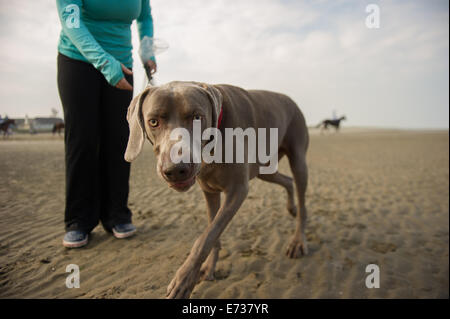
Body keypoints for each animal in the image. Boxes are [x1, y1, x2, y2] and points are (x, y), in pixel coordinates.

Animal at [124, 80, 310, 300]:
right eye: (153, 122)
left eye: (197, 117)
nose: (176, 170)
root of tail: (290, 100)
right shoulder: (209, 191)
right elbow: (212, 233)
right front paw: (207, 269)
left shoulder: (237, 190)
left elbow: (206, 238)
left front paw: (183, 281)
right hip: (264, 168)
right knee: (287, 181)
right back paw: (291, 208)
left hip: (297, 157)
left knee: (301, 195)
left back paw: (298, 240)